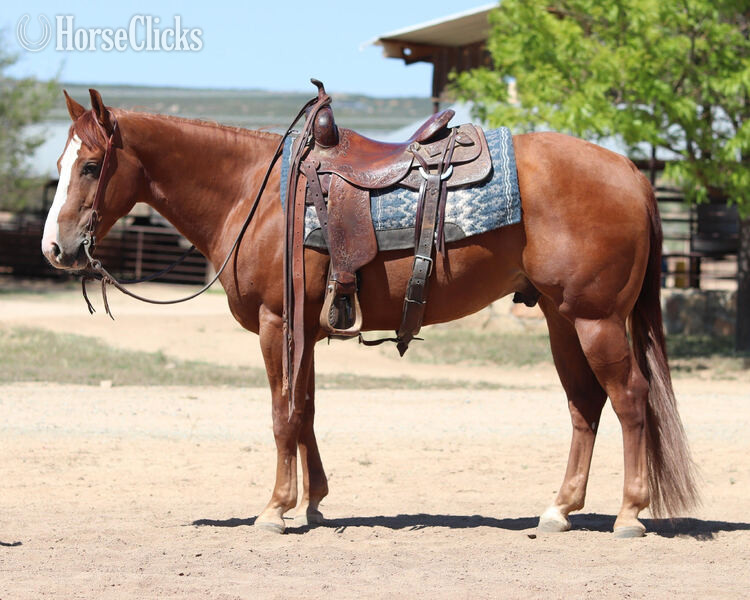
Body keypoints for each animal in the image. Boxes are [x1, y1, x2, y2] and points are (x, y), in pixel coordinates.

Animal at [41, 89, 699, 537]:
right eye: (61, 167)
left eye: (91, 166)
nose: (56, 248)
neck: (254, 193)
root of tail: (631, 174)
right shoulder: (304, 329)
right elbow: (303, 411)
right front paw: (312, 501)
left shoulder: (278, 324)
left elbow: (281, 415)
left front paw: (275, 508)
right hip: (562, 319)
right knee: (585, 405)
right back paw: (559, 509)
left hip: (597, 319)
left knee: (630, 399)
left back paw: (630, 513)